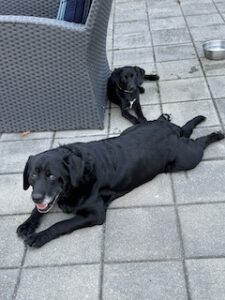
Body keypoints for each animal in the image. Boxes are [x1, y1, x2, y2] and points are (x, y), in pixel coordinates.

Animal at [16, 113, 224, 247]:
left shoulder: (95, 214)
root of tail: (167, 128)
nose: (36, 196)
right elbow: (38, 211)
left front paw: (39, 237)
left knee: (199, 143)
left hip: (186, 158)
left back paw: (215, 135)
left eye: (52, 175)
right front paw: (27, 224)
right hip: (132, 129)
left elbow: (61, 224)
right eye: (33, 175)